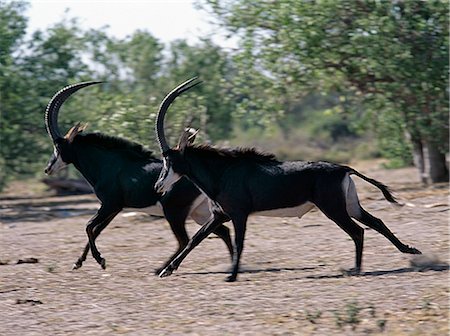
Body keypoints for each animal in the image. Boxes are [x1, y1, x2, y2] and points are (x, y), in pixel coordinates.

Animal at [43, 82, 232, 272]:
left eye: (57, 147)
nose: (48, 168)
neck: (107, 164)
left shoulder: (109, 204)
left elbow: (89, 226)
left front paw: (100, 260)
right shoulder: (115, 208)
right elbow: (96, 231)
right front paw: (79, 262)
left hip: (174, 212)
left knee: (184, 240)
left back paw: (162, 268)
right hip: (198, 213)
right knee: (223, 231)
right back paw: (231, 265)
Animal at [154, 77, 422, 282]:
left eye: (168, 160)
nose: (158, 185)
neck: (221, 172)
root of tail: (344, 168)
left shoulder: (239, 214)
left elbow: (239, 242)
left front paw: (232, 275)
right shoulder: (219, 215)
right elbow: (195, 239)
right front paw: (167, 270)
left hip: (333, 208)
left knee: (357, 231)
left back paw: (356, 268)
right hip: (349, 205)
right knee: (375, 222)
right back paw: (409, 250)